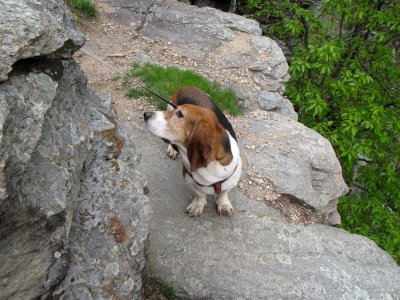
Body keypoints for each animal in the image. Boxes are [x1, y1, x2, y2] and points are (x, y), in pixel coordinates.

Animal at [145, 86, 242, 216]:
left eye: (180, 114)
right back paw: (172, 149)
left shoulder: (232, 180)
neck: (209, 168)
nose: (146, 114)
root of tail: (187, 87)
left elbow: (224, 193)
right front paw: (197, 205)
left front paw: (224, 204)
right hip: (169, 105)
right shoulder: (189, 179)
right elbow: (199, 194)